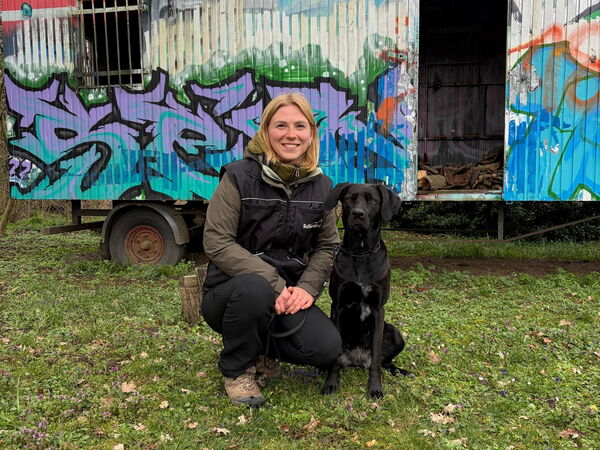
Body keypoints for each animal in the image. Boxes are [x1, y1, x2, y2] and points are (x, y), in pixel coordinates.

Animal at [321, 183, 411, 398]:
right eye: (349, 199)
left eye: (372, 200)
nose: (358, 214)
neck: (361, 253)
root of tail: (357, 360)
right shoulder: (338, 307)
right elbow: (334, 360)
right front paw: (331, 383)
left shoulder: (378, 310)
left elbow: (377, 360)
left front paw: (375, 388)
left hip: (396, 333)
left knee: (385, 362)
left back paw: (401, 371)